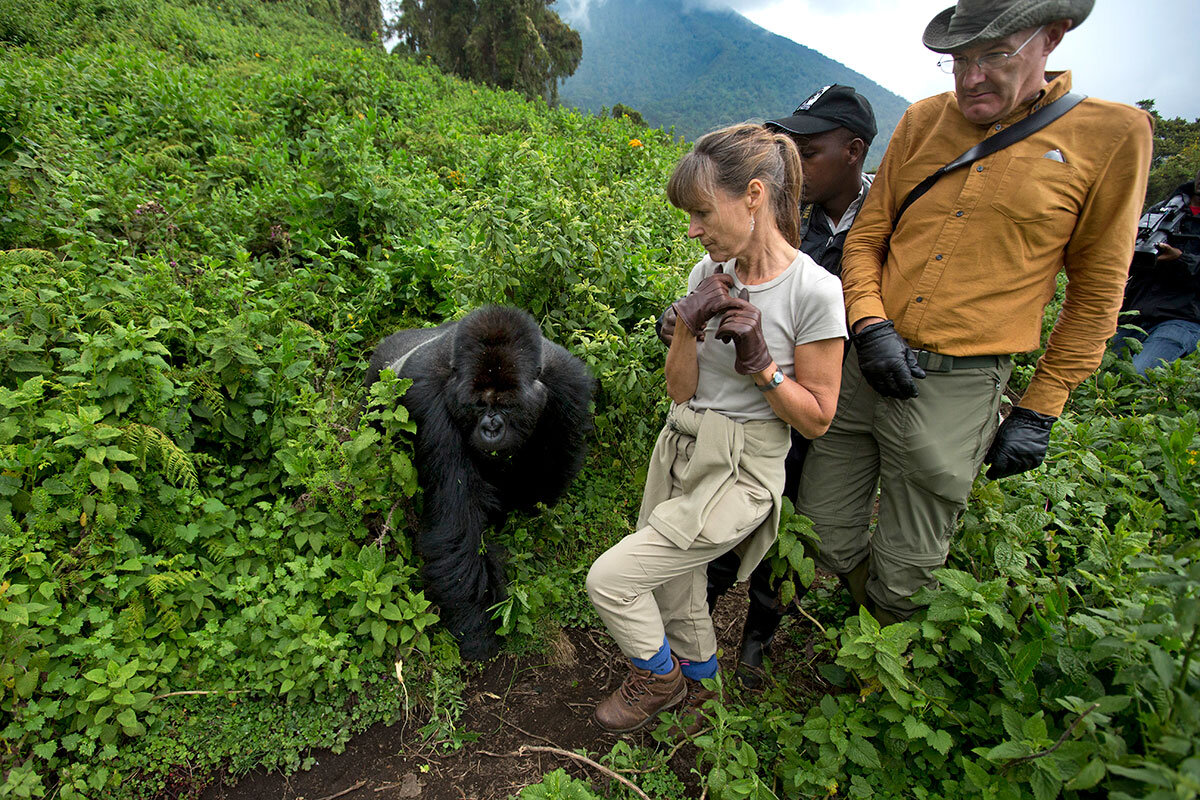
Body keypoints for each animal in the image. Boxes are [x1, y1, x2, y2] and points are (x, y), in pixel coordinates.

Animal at [362, 303, 592, 662]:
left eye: (507, 405)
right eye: (478, 404)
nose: (491, 429)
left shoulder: (568, 385)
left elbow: (547, 478)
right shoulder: (427, 397)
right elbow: (457, 526)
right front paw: (477, 630)